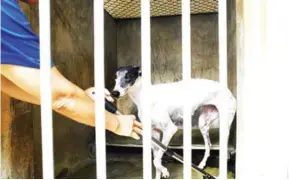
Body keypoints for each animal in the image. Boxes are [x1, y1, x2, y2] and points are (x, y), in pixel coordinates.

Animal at [87, 65, 234, 178]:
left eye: (128, 76)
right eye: (115, 78)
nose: (115, 93)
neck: (145, 97)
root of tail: (228, 90)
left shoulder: (169, 130)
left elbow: (157, 160)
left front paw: (165, 170)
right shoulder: (154, 133)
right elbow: (156, 159)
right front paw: (161, 173)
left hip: (224, 126)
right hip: (203, 124)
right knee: (209, 145)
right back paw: (202, 165)